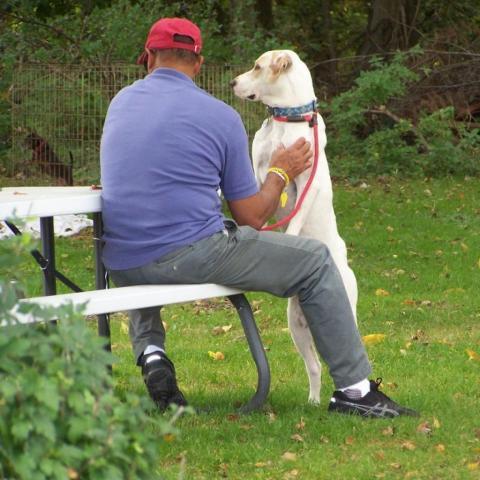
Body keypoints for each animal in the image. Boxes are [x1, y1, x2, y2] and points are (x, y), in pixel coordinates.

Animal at [231, 49, 358, 404]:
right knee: (314, 367)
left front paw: (289, 236)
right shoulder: (258, 170)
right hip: (296, 327)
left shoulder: (307, 184)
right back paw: (314, 402)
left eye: (257, 67)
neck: (287, 119)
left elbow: (296, 218)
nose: (232, 82)